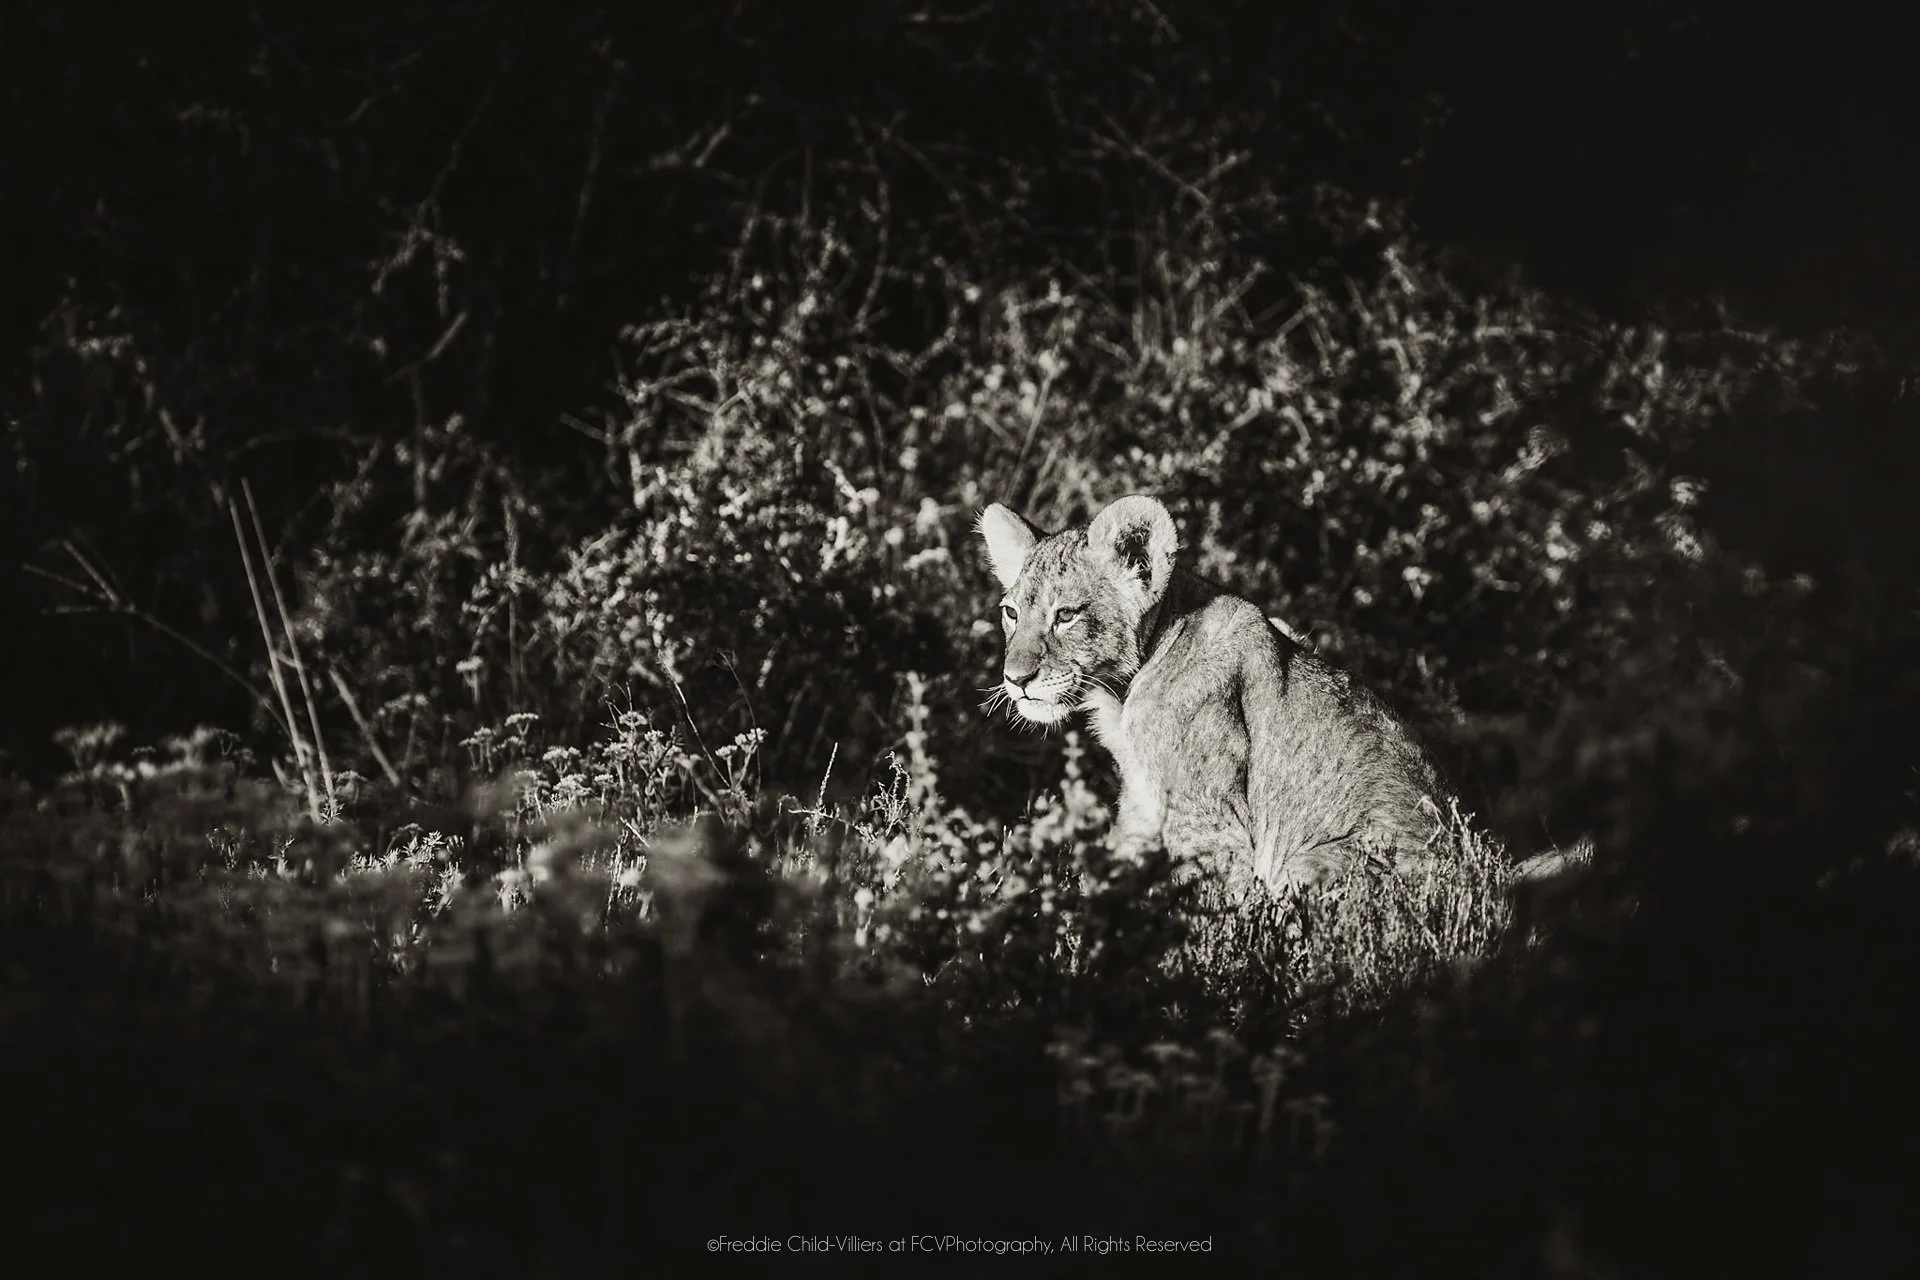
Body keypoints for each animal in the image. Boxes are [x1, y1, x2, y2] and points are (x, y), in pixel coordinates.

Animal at [977, 493, 1453, 896]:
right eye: (1011, 612)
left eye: (1066, 616)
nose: (1015, 679)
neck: (1121, 694)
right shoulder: (1140, 809)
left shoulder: (1213, 828)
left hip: (1310, 863)